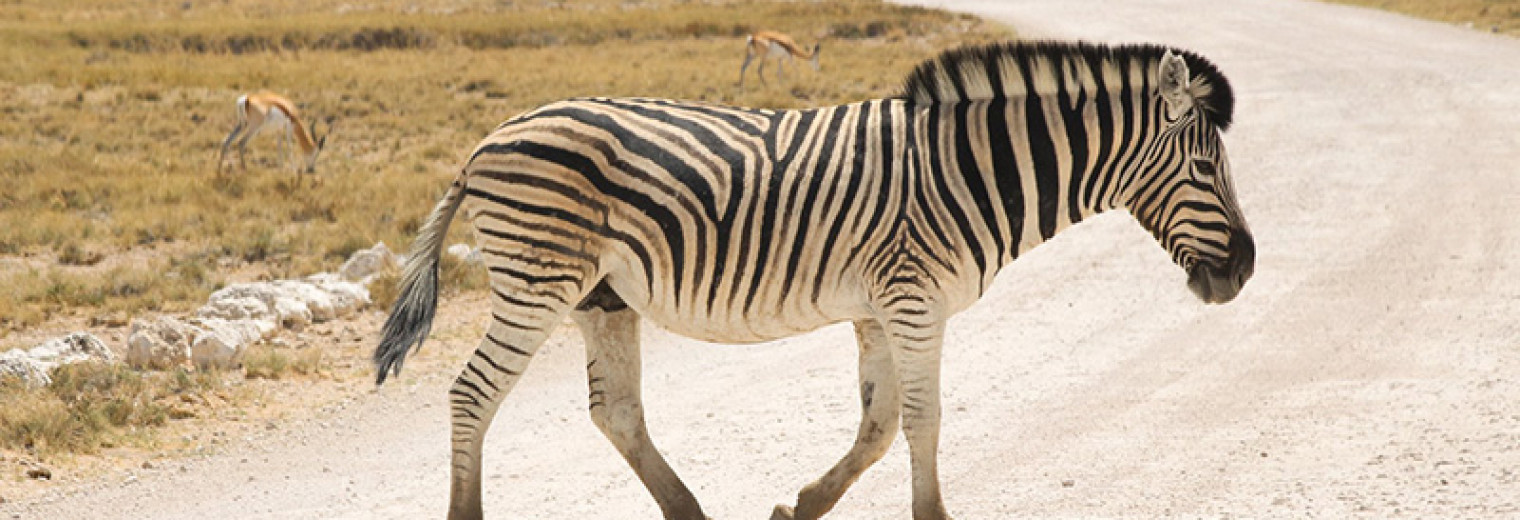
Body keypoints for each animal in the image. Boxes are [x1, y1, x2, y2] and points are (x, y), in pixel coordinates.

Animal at [373, 41, 1252, 520]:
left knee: (615, 411)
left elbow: (879, 426)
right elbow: (923, 421)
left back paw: (691, 512)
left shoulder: (882, 309)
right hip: (539, 280)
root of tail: (485, 142)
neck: (971, 170)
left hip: (601, 296)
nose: (1243, 270)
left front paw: (799, 505)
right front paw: (933, 515)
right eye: (1206, 168)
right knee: (472, 395)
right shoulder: (914, 301)